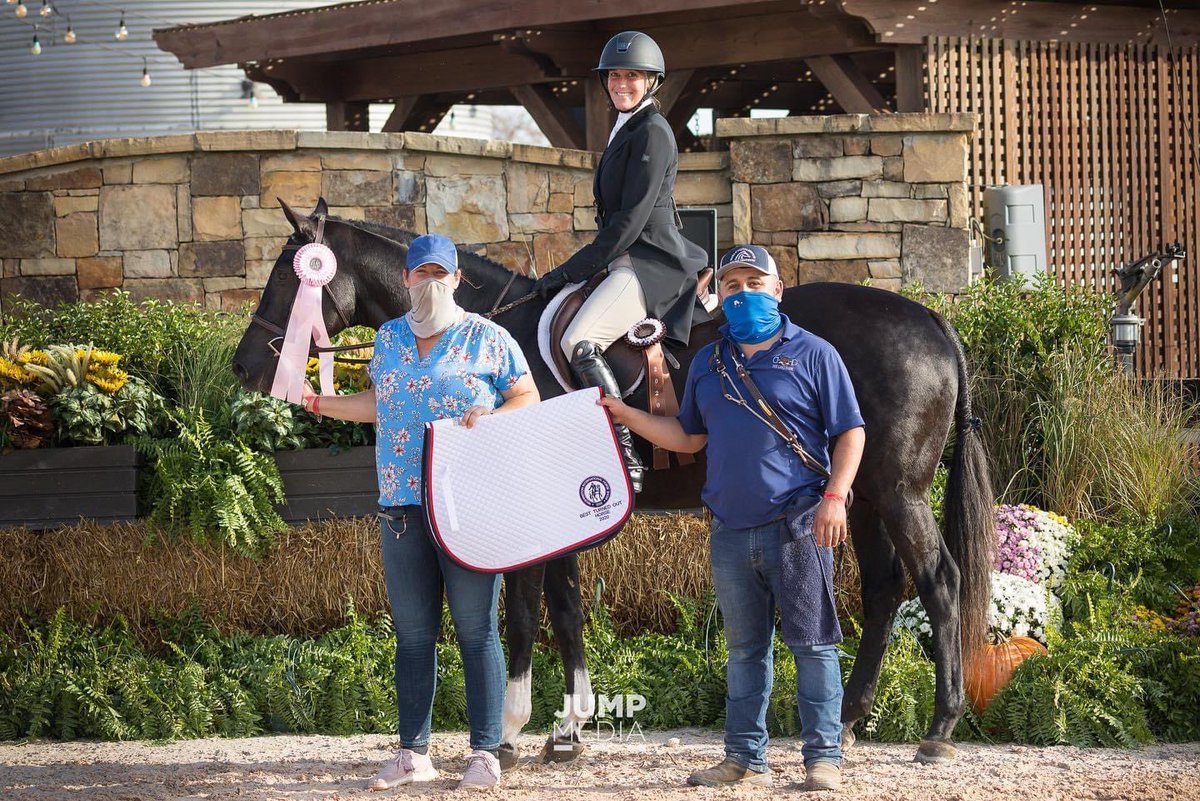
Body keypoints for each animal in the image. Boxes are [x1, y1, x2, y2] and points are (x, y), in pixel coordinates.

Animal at [232, 199, 995, 766]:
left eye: (289, 278)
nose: (246, 365)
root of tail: (930, 318)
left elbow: (525, 614)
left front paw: (509, 735)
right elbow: (567, 611)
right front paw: (567, 731)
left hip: (896, 490)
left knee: (938, 580)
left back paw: (939, 729)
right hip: (859, 495)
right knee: (885, 586)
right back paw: (855, 716)